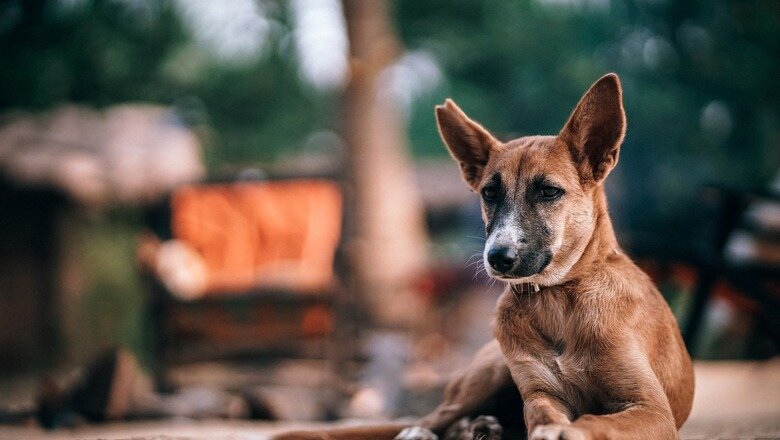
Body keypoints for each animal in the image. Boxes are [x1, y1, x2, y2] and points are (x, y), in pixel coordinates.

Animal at [270, 74, 696, 438]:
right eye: (490, 193)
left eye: (549, 191)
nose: (498, 258)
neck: (557, 299)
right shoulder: (540, 394)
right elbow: (544, 413)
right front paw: (549, 428)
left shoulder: (651, 409)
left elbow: (596, 419)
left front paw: (566, 432)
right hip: (491, 371)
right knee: (433, 417)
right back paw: (438, 431)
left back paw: (481, 429)